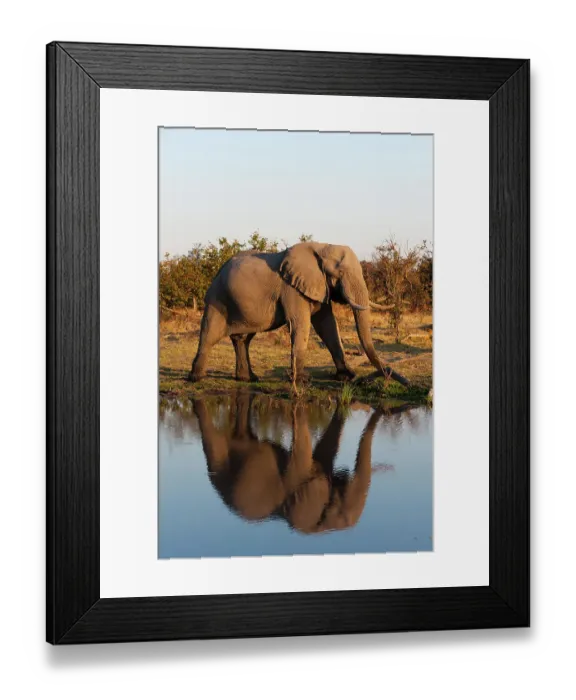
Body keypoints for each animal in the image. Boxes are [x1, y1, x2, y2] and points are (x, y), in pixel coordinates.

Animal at [188, 241, 410, 386]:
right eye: (339, 273)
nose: (408, 383)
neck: (322, 247)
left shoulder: (318, 285)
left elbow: (327, 325)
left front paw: (346, 376)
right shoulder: (292, 289)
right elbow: (301, 324)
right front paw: (303, 380)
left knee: (243, 339)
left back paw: (248, 379)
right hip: (217, 299)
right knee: (210, 334)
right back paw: (196, 379)